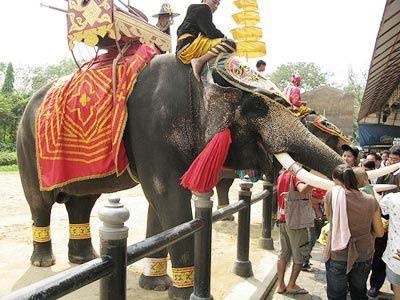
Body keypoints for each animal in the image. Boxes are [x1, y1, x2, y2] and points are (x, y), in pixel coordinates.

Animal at [17, 52, 346, 298]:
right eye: (255, 107)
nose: (347, 168)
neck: (195, 72)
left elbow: (159, 201)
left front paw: (156, 285)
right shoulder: (152, 125)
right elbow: (166, 193)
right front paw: (180, 292)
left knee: (82, 201)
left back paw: (86, 259)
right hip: (27, 146)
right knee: (40, 203)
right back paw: (45, 261)